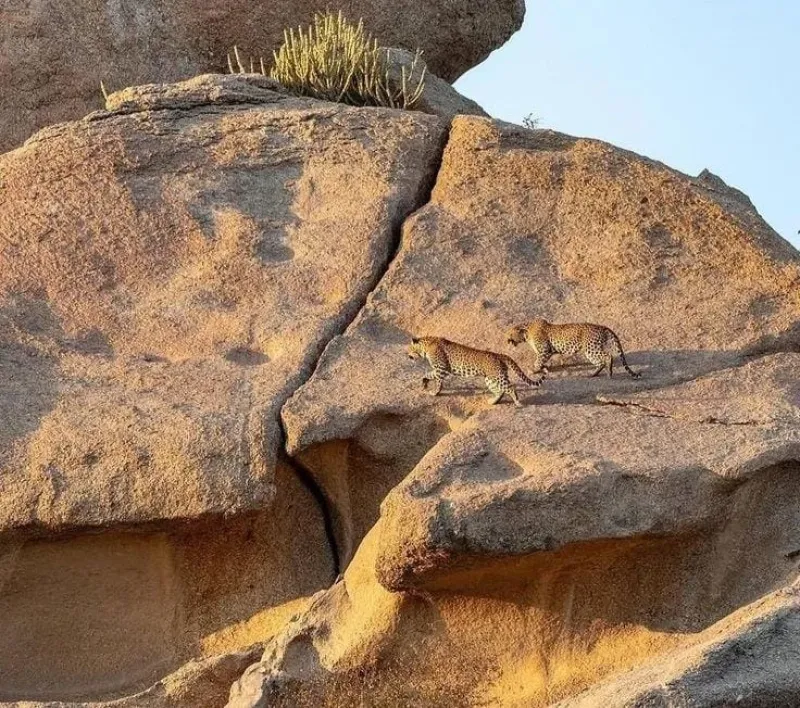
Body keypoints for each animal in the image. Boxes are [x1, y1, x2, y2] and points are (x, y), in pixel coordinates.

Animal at [407, 336, 543, 407]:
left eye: (409, 348)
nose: (408, 355)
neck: (427, 345)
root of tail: (499, 355)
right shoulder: (438, 369)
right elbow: (427, 374)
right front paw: (424, 383)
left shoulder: (441, 368)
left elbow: (438, 381)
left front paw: (435, 392)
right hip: (491, 378)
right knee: (500, 390)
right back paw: (492, 402)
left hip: (497, 377)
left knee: (510, 387)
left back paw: (518, 402)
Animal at [506, 319, 641, 379]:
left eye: (510, 333)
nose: (507, 339)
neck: (527, 333)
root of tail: (602, 327)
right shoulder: (545, 353)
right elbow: (541, 362)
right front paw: (544, 369)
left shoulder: (544, 351)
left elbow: (538, 362)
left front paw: (533, 370)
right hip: (593, 349)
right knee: (601, 361)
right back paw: (594, 374)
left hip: (591, 349)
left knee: (607, 357)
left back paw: (609, 373)